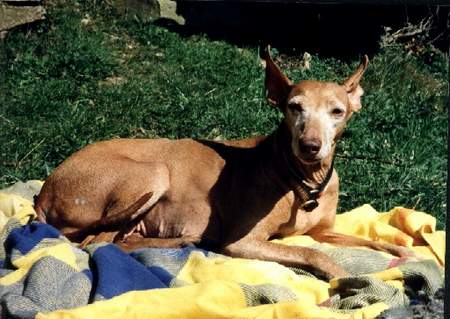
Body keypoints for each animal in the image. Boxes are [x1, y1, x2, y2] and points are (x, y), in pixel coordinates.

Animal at [33, 47, 410, 280]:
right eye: (294, 107)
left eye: (337, 112)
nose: (310, 146)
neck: (303, 178)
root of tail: (44, 191)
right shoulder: (244, 242)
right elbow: (314, 254)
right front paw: (346, 281)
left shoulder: (324, 231)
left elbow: (373, 242)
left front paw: (406, 252)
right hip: (152, 173)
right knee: (96, 242)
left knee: (117, 240)